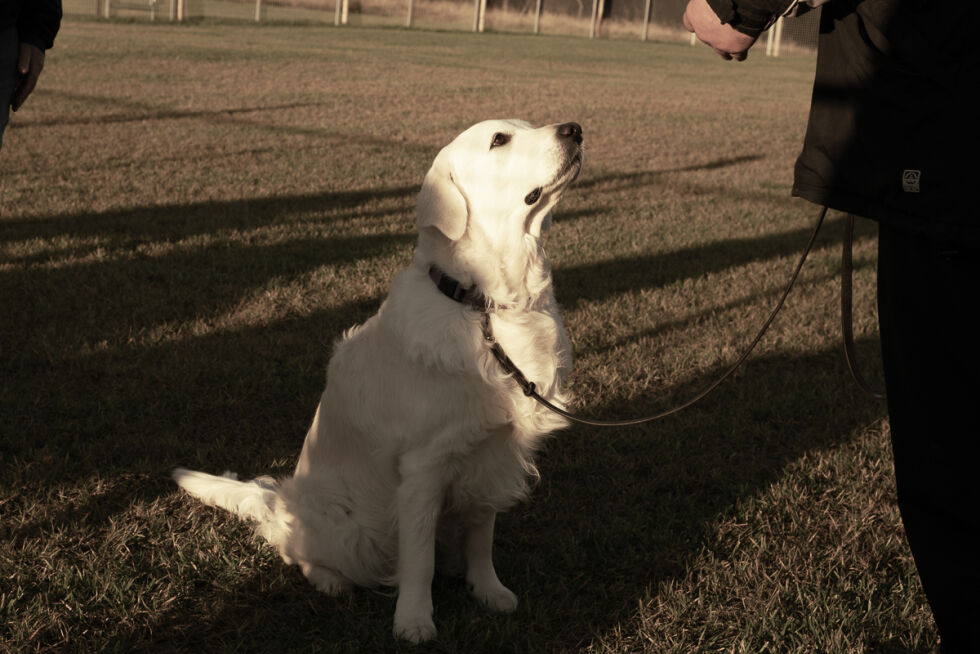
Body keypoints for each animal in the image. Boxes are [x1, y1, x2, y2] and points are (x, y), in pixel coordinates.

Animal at [171, 119, 580, 644]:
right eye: (499, 140)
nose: (575, 129)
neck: (484, 304)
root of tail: (280, 497)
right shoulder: (424, 468)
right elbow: (419, 561)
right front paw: (414, 620)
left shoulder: (492, 454)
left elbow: (481, 536)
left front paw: (488, 589)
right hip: (347, 527)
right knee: (291, 546)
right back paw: (327, 579)